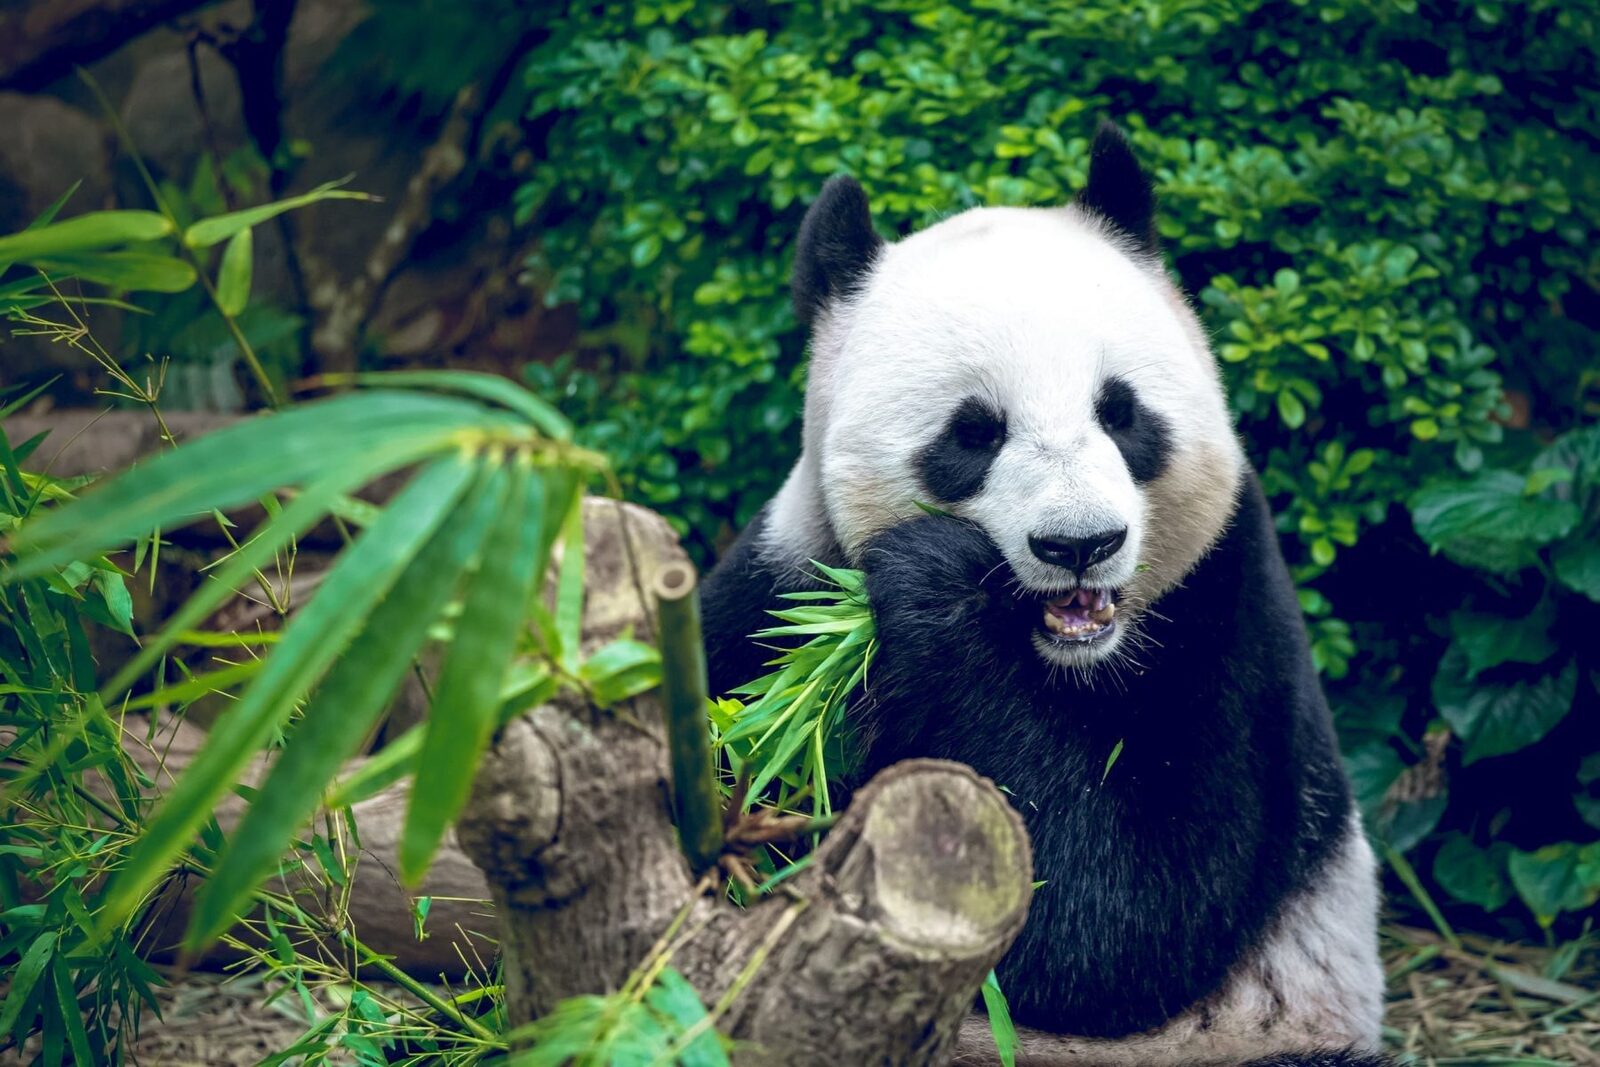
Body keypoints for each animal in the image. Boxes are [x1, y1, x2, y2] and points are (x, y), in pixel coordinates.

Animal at [700, 122, 1386, 1067]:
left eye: (1121, 411)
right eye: (973, 432)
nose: (1081, 545)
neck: (1067, 661)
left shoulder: (1227, 619)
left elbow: (1117, 915)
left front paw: (935, 583)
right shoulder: (785, 579)